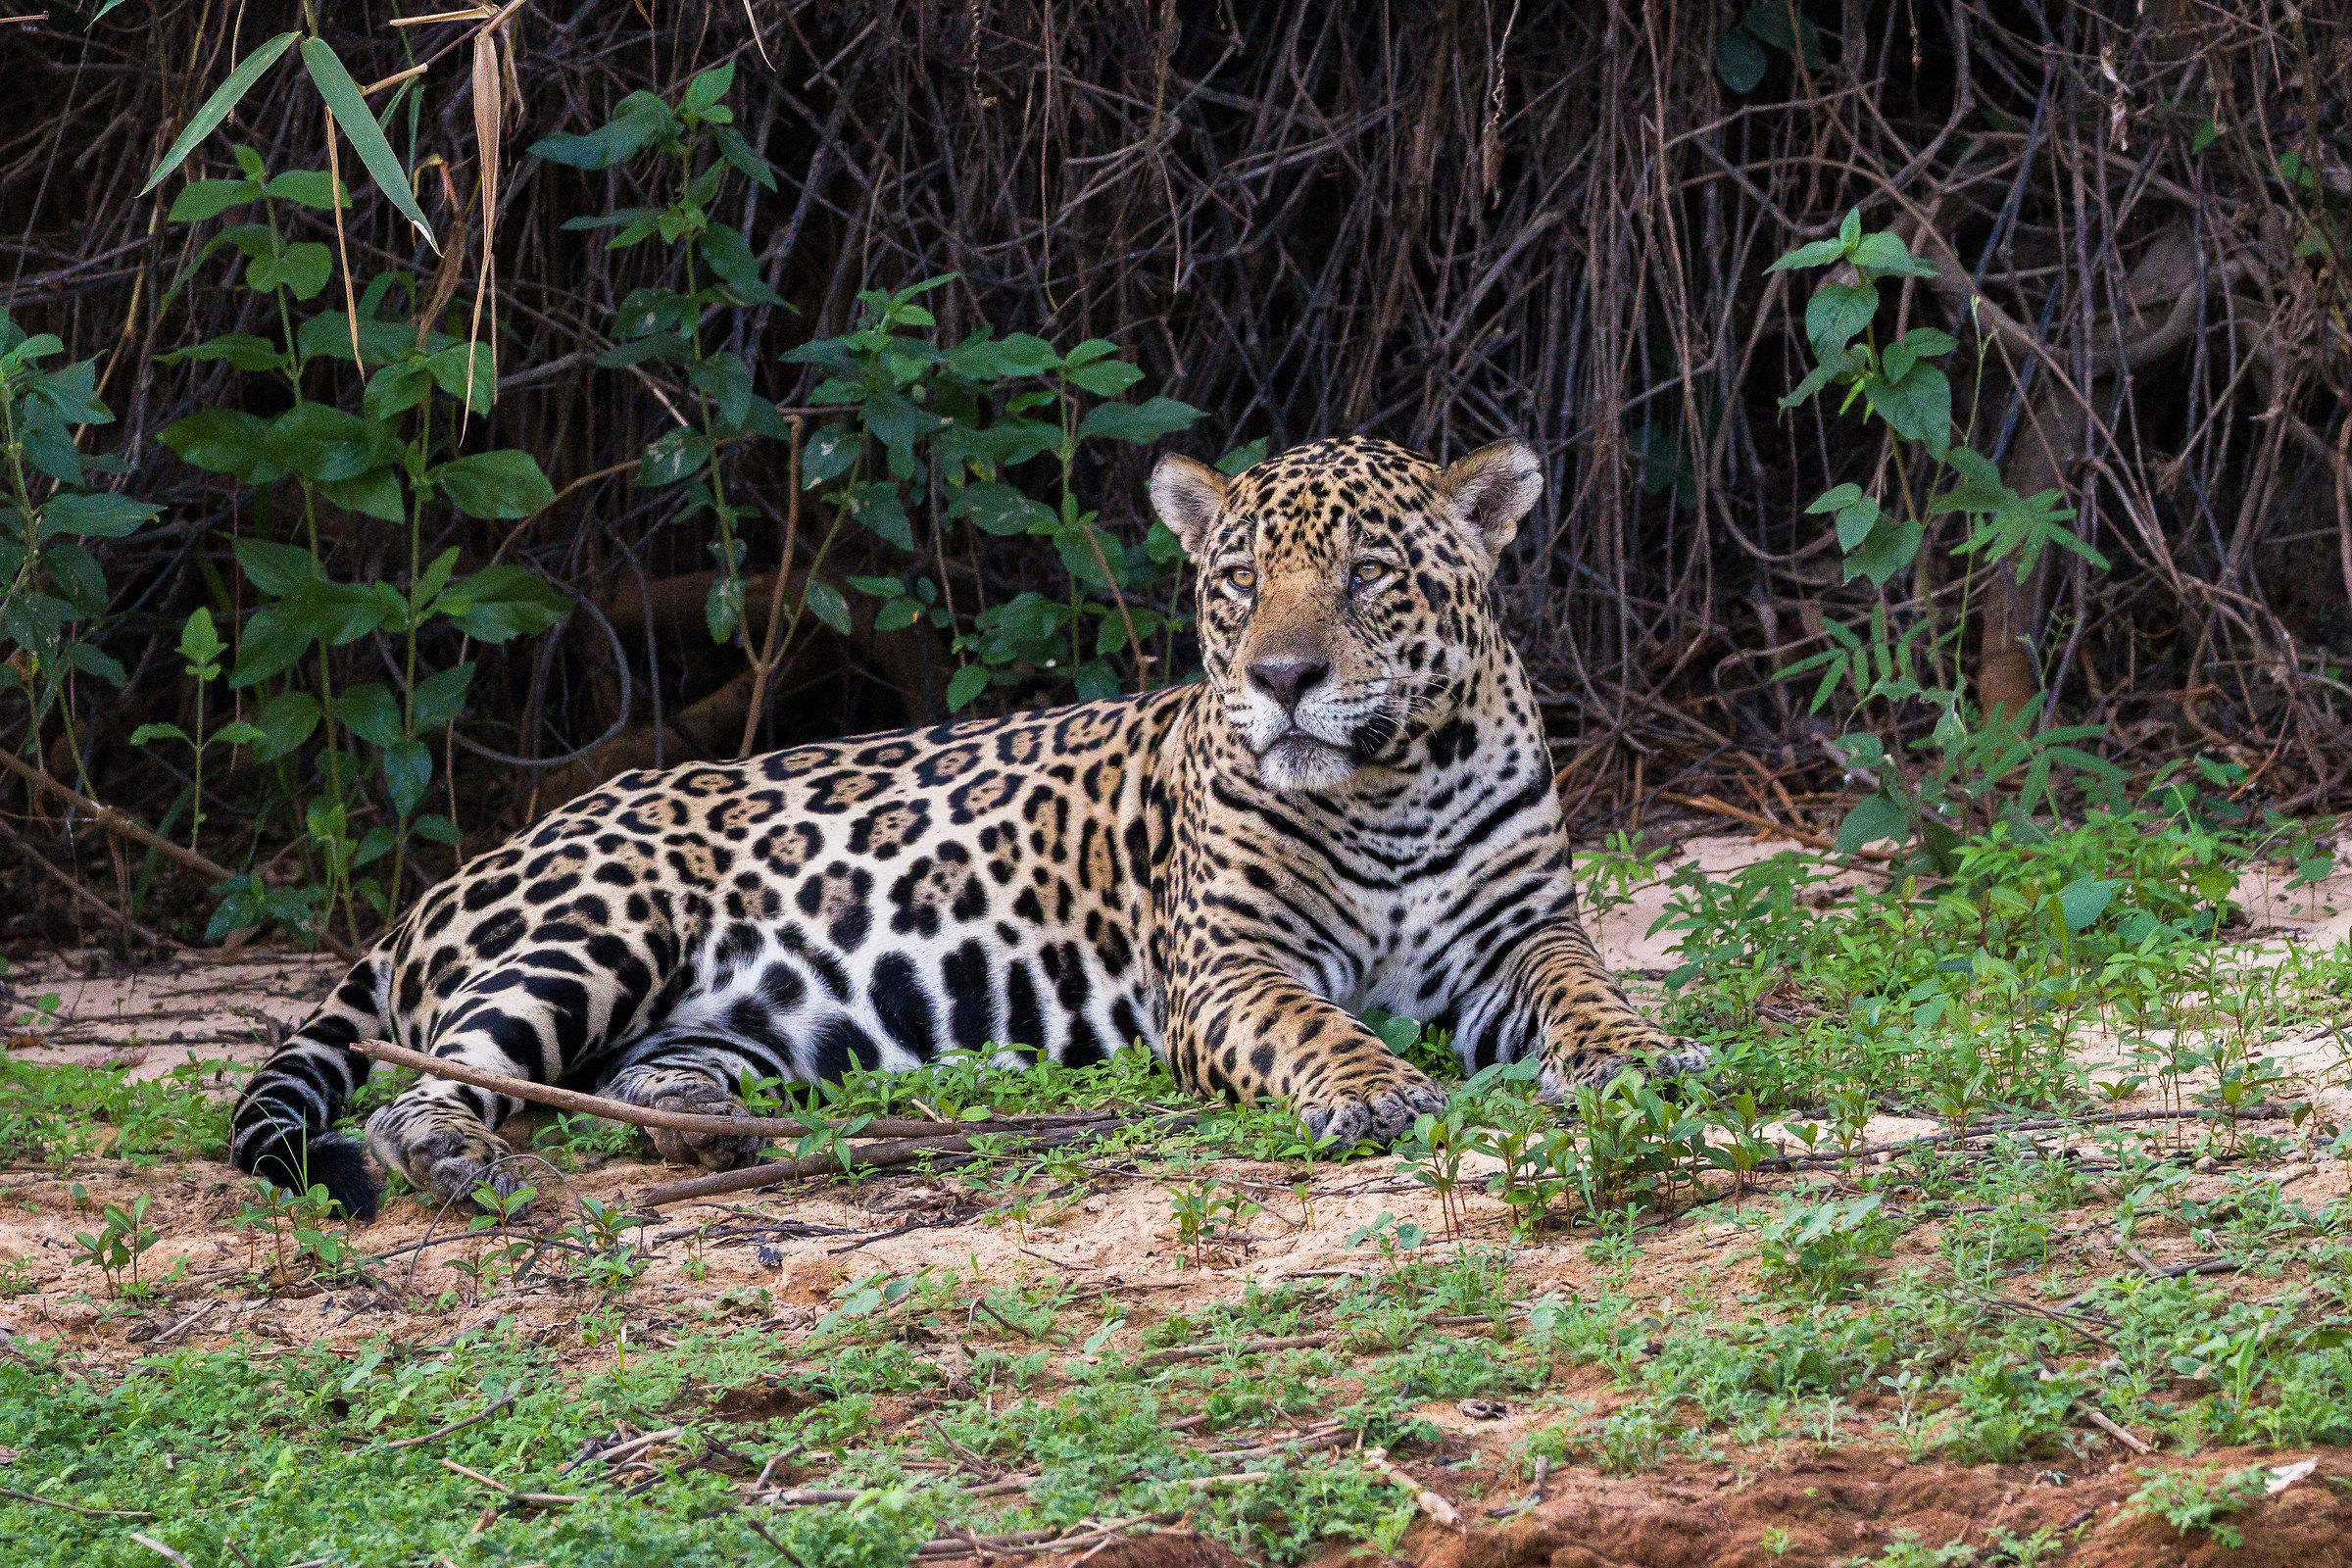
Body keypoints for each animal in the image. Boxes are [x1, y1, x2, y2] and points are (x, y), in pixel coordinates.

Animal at [229, 433, 1712, 1219]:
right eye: (1239, 582)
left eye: (1368, 576)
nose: (1281, 680)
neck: (1389, 781)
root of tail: (458, 873)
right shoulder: (1227, 969)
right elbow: (1308, 1021)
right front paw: (1373, 1085)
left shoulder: (1525, 936)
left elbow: (1590, 996)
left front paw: (1647, 1053)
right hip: (601, 922)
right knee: (436, 1079)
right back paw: (454, 1154)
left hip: (735, 1020)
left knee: (635, 1081)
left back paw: (747, 1126)